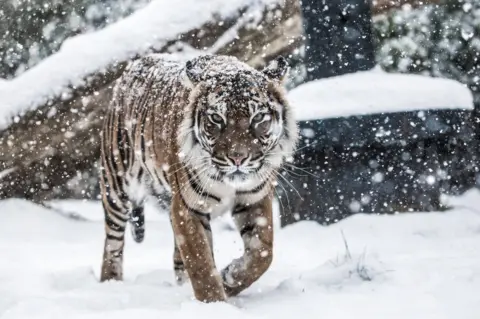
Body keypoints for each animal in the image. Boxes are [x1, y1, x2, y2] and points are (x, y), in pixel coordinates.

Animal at [99, 53, 298, 304]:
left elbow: (262, 253)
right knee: (112, 243)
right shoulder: (188, 207)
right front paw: (215, 303)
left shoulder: (254, 199)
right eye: (216, 118)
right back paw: (110, 283)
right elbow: (201, 262)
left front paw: (229, 278)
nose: (238, 158)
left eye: (258, 117)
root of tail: (135, 64)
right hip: (116, 183)